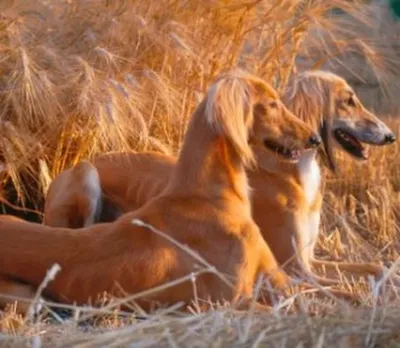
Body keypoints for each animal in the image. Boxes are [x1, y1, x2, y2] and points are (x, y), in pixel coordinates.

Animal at [0, 72, 322, 312]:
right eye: (272, 104)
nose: (315, 138)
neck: (209, 195)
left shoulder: (282, 279)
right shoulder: (229, 303)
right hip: (85, 176)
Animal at [42, 70, 396, 288]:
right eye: (349, 100)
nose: (391, 136)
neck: (288, 170)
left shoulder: (307, 259)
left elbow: (376, 268)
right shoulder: (294, 267)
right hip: (86, 174)